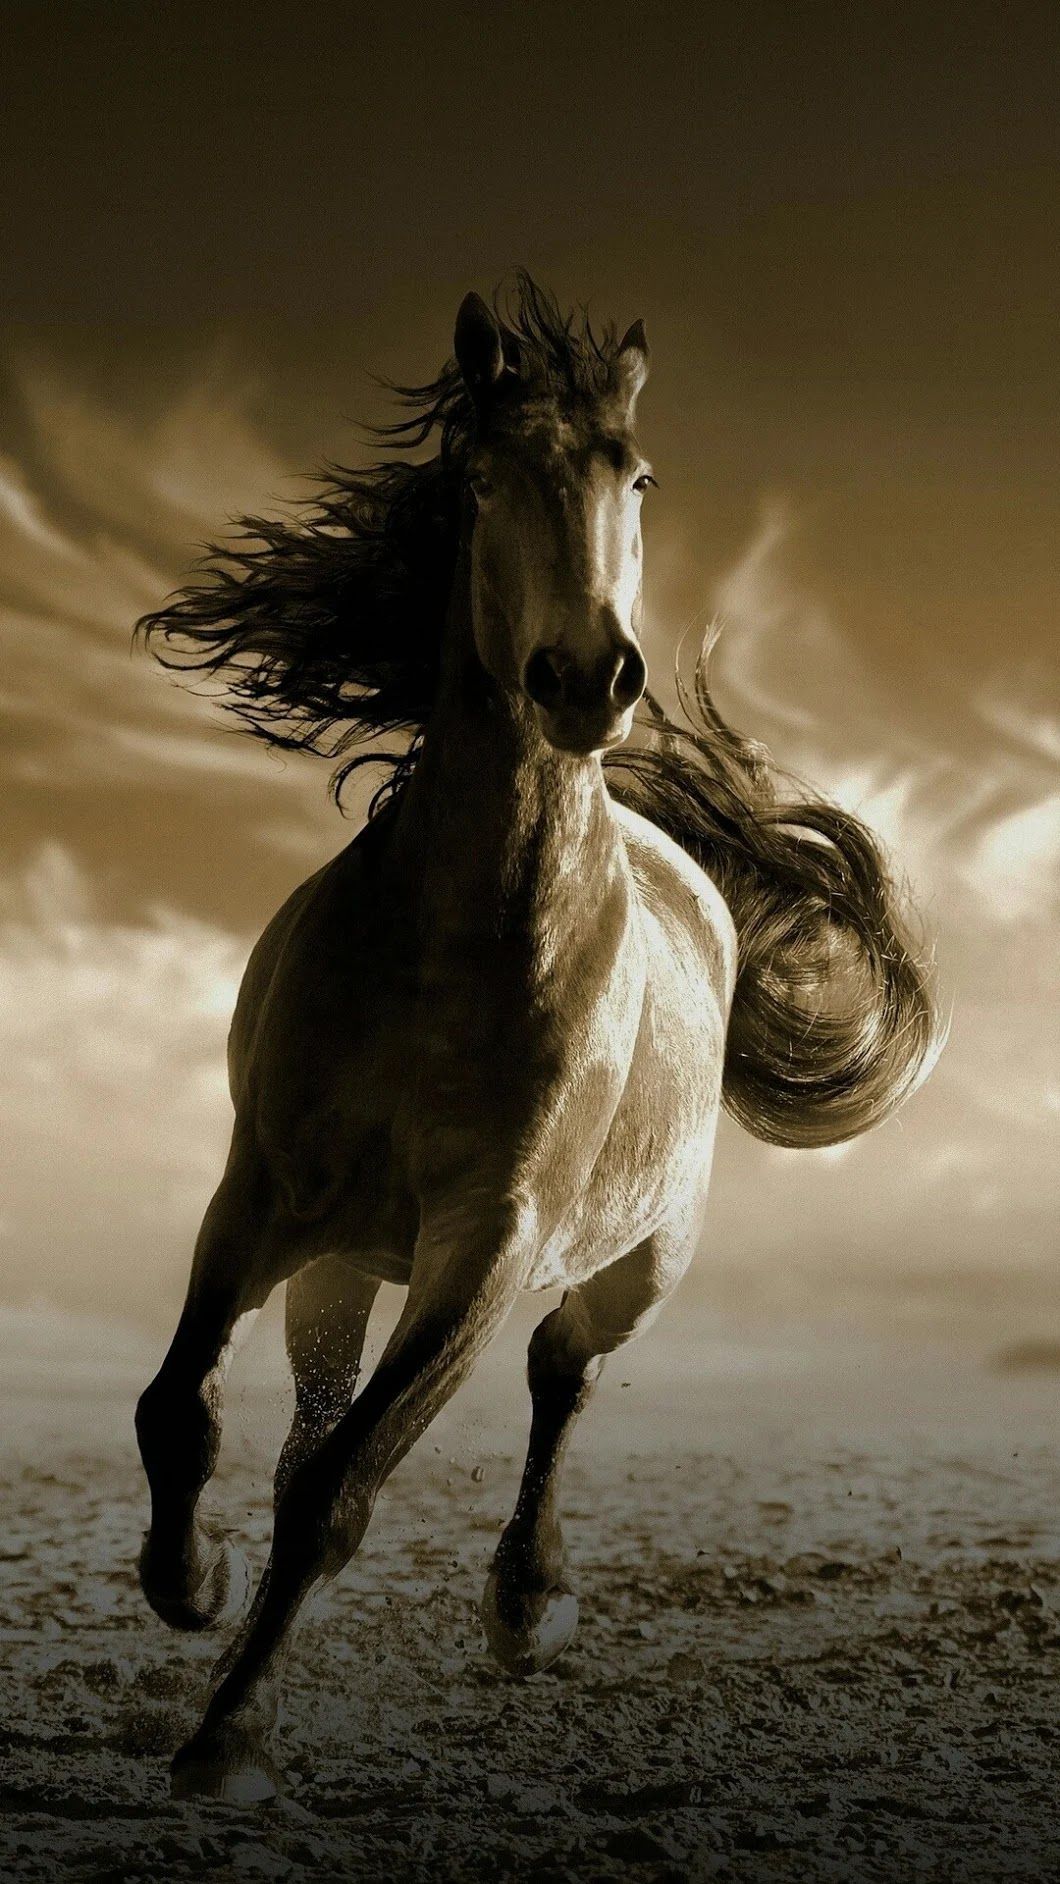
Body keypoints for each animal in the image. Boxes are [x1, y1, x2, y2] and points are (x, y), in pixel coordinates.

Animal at [134, 275, 939, 1802]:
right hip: (345, 1261)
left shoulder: (488, 1242)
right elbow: (186, 1412)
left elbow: (343, 1492)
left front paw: (227, 1736)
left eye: (639, 475)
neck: (455, 944)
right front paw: (188, 1583)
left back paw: (528, 1602)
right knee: (314, 1404)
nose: (585, 677)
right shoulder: (259, 1193)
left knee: (562, 1374)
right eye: (481, 476)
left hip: (637, 1260)